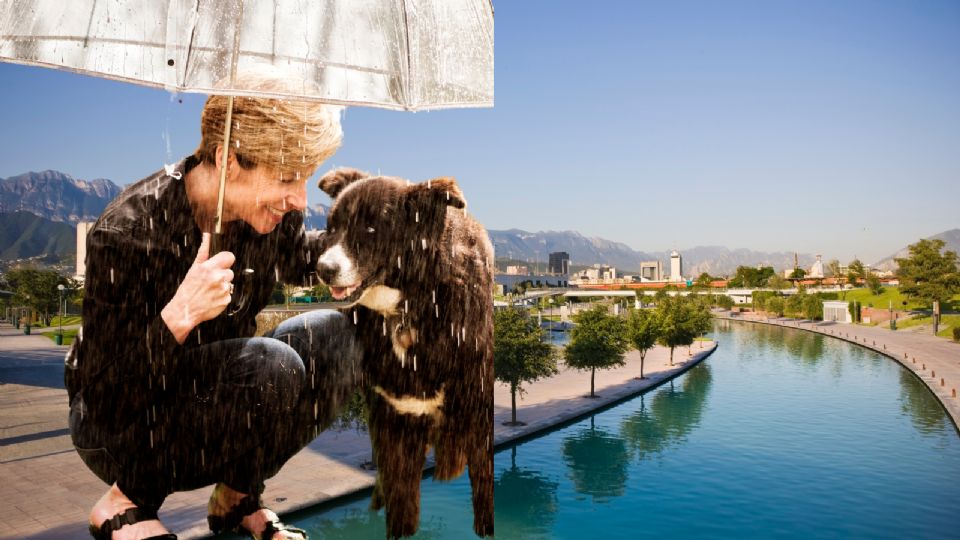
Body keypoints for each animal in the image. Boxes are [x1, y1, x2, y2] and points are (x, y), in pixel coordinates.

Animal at [318, 168, 496, 536]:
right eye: (331, 227)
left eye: (371, 228)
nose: (323, 269)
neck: (410, 306)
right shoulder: (393, 419)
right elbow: (400, 506)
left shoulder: (477, 413)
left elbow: (484, 501)